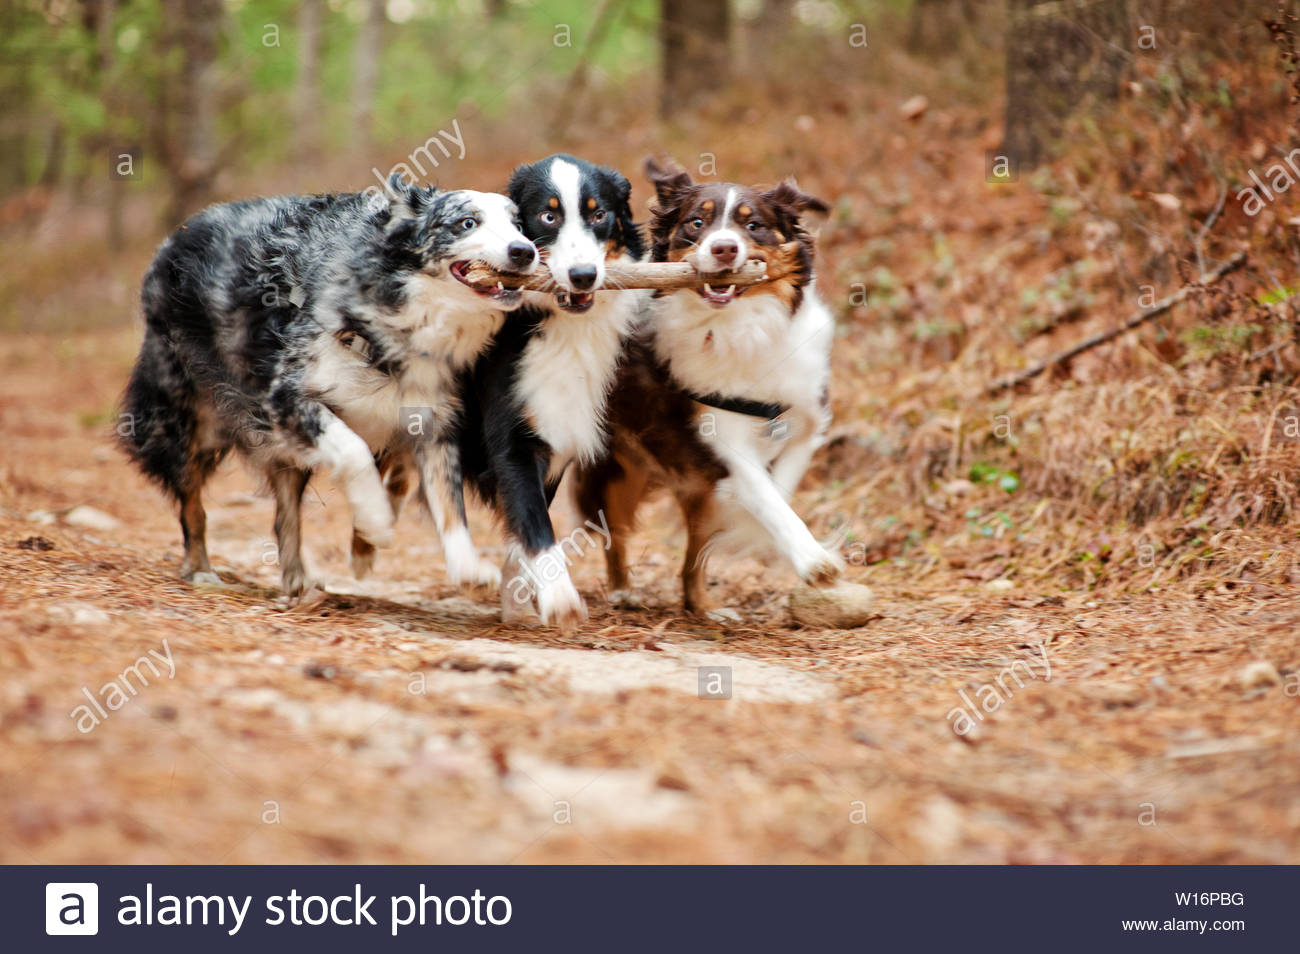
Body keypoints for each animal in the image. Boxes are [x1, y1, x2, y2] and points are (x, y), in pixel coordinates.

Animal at [116, 175, 533, 600]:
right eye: (467, 223)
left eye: (518, 225)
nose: (525, 252)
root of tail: (174, 238)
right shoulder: (287, 397)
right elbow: (354, 451)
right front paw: (376, 521)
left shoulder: (431, 421)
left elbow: (449, 502)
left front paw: (468, 567)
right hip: (190, 422)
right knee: (192, 502)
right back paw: (201, 568)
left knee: (284, 514)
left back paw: (297, 580)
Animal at [454, 153, 647, 631]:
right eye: (548, 216)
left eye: (599, 215)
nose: (583, 277)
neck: (559, 323)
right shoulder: (513, 441)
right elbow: (537, 524)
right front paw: (561, 599)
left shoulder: (556, 430)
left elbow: (523, 525)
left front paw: (517, 603)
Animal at [577, 158, 842, 621]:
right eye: (696, 223)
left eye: (753, 225)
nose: (724, 249)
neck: (738, 326)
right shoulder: (722, 439)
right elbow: (768, 498)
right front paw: (812, 560)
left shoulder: (809, 418)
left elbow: (781, 485)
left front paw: (757, 533)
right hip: (619, 466)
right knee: (614, 528)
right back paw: (622, 589)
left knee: (691, 558)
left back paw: (703, 607)